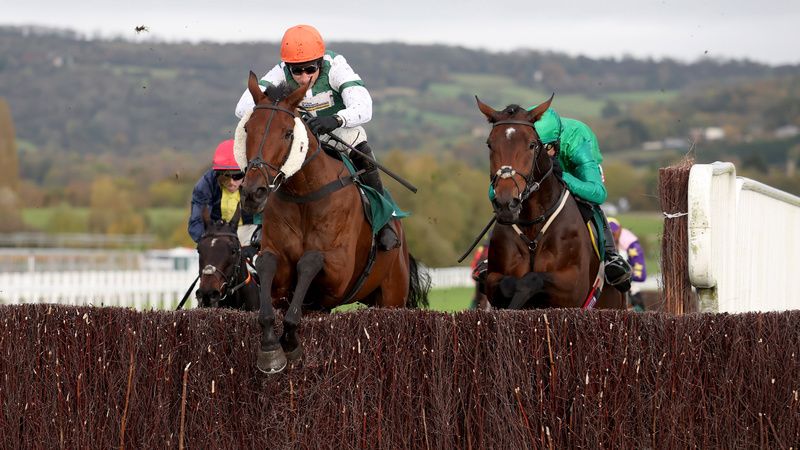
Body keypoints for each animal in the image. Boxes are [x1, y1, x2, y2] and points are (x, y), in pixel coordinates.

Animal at [239, 73, 432, 372]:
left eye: (288, 133)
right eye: (248, 129)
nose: (253, 192)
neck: (304, 195)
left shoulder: (338, 271)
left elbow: (309, 261)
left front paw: (290, 343)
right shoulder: (279, 270)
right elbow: (267, 265)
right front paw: (271, 347)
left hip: (391, 297)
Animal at [476, 96, 624, 312]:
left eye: (532, 145)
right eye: (489, 144)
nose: (506, 204)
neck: (532, 226)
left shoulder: (573, 286)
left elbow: (531, 279)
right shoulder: (493, 279)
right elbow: (509, 283)